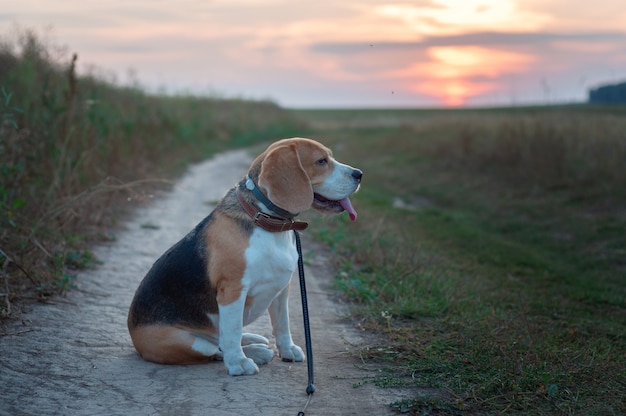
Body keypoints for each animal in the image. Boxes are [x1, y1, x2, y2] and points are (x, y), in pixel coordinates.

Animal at [127, 138, 360, 376]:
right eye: (321, 161)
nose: (359, 174)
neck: (265, 220)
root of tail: (133, 334)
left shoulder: (282, 288)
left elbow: (282, 324)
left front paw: (287, 349)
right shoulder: (232, 291)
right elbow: (232, 332)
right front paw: (238, 362)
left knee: (222, 340)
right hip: (186, 342)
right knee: (216, 349)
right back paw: (253, 353)